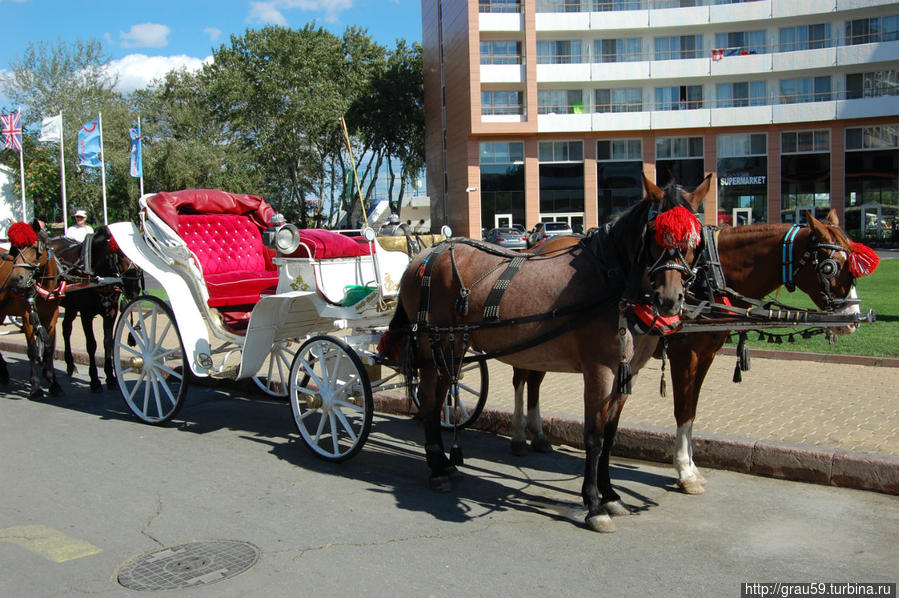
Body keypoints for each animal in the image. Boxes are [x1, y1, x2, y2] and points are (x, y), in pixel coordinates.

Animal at [0, 223, 65, 400]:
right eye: (15, 249)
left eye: (36, 248)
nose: (17, 278)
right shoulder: (28, 316)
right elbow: (33, 350)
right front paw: (35, 387)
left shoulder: (51, 315)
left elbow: (49, 348)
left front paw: (53, 382)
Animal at [384, 175, 712, 536]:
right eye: (655, 232)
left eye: (694, 238)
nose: (670, 299)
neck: (612, 283)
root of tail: (426, 255)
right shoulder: (599, 372)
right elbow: (594, 438)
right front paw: (594, 504)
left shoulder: (628, 374)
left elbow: (610, 437)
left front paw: (611, 496)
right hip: (435, 343)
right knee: (430, 401)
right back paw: (437, 468)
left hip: (451, 347)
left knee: (440, 395)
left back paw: (444, 463)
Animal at [512, 211, 872, 496]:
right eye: (830, 266)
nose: (853, 317)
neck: (708, 277)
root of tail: (536, 248)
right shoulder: (686, 355)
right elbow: (682, 408)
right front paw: (685, 471)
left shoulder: (706, 353)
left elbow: (693, 409)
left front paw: (690, 467)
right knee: (522, 379)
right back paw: (519, 434)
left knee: (532, 379)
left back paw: (536, 434)